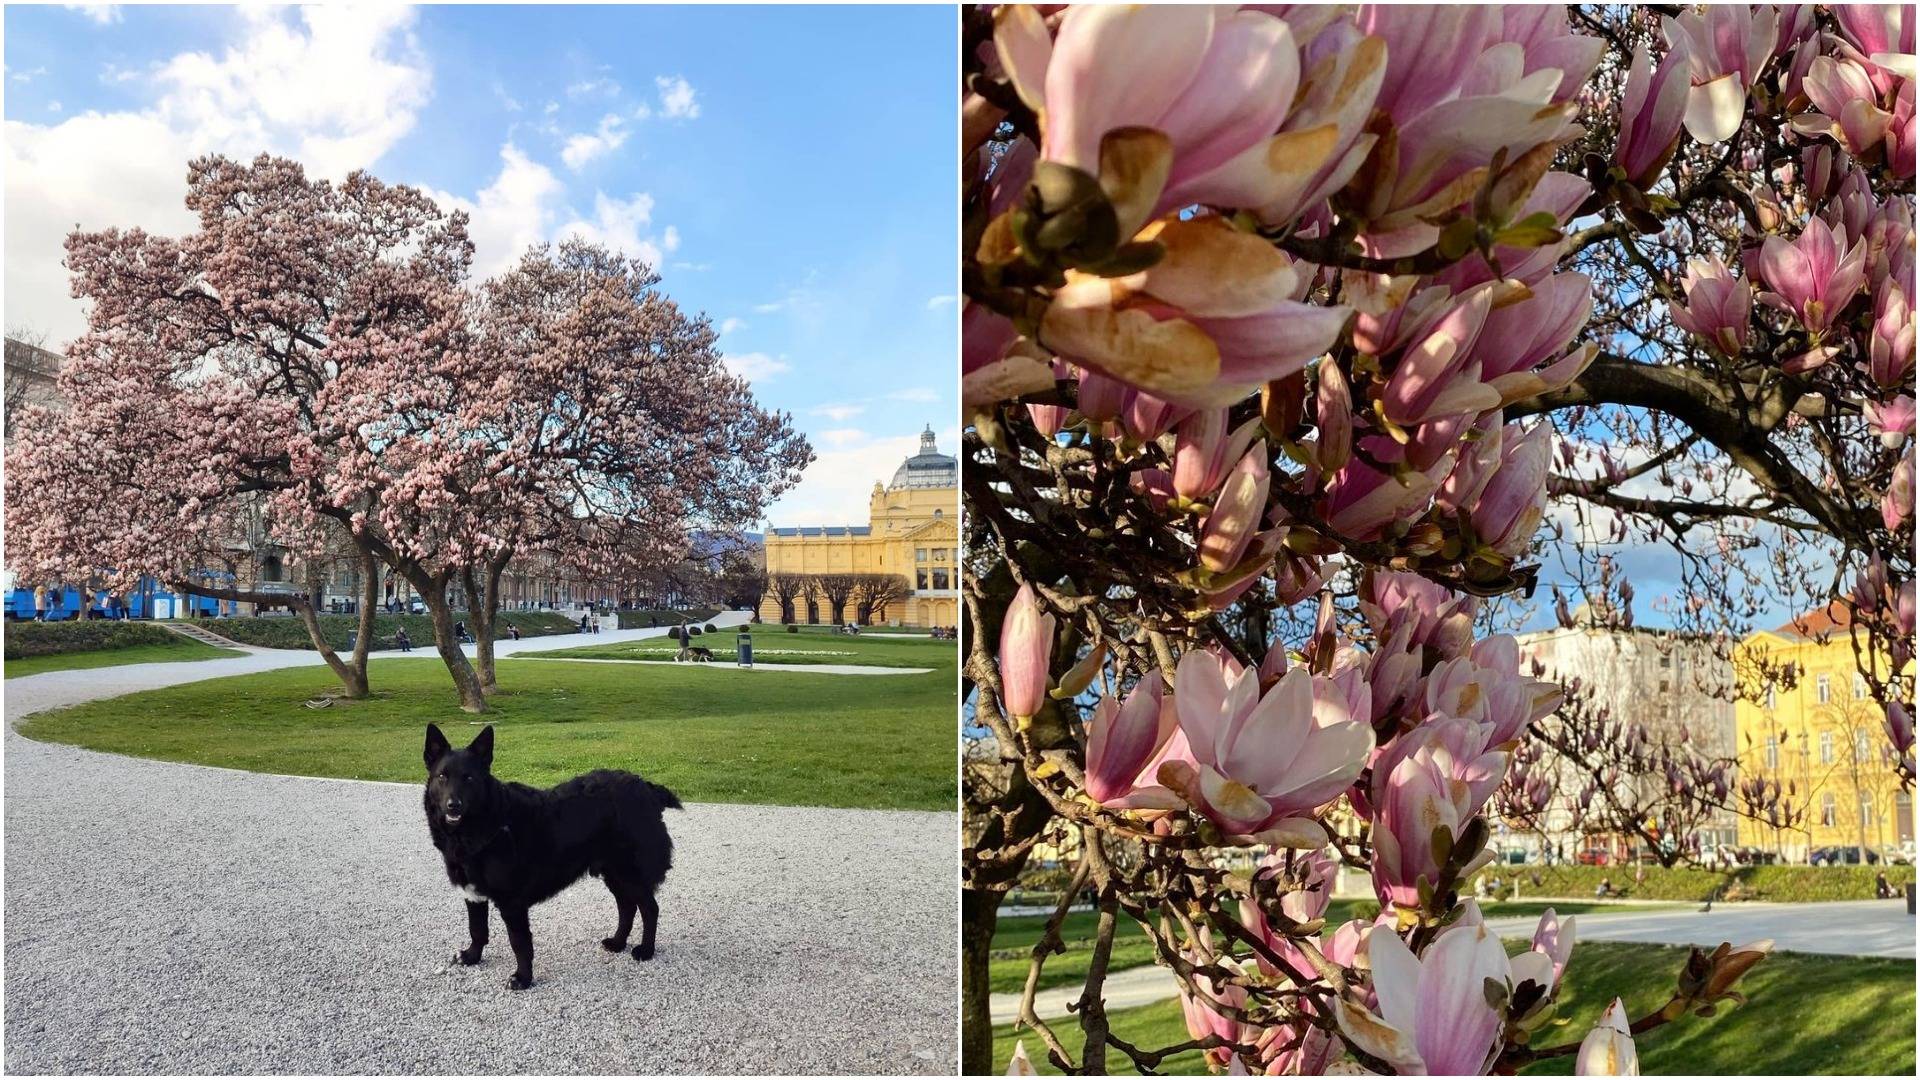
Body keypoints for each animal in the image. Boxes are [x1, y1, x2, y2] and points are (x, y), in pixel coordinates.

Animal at [424, 722, 679, 983]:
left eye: (469, 778)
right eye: (442, 776)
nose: (453, 805)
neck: (487, 823)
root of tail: (647, 787)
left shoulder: (512, 903)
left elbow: (520, 943)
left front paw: (523, 978)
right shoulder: (473, 895)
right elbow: (477, 930)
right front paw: (472, 956)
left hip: (629, 872)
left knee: (649, 908)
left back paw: (646, 950)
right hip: (615, 873)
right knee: (627, 906)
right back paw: (618, 942)